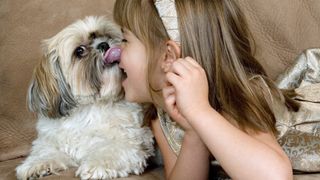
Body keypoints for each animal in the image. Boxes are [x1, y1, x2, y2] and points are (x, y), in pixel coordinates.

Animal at [15, 16, 154, 179]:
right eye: (79, 51)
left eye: (107, 36)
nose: (104, 44)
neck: (90, 107)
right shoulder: (53, 142)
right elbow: (46, 151)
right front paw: (35, 165)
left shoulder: (130, 141)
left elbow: (111, 149)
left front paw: (97, 165)